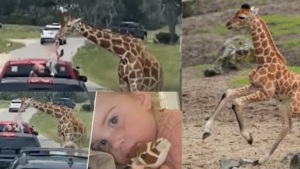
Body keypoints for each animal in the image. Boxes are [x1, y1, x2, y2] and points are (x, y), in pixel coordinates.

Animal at [200, 3, 300, 165]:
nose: (228, 24)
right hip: (283, 103)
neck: (264, 60)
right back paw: (261, 159)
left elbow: (237, 102)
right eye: (236, 12)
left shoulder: (265, 93)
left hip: (295, 106)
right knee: (286, 127)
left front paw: (249, 138)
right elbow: (228, 93)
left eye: (241, 17)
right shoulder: (254, 86)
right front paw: (206, 132)